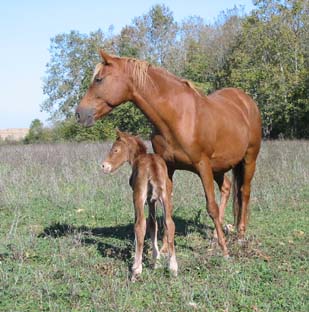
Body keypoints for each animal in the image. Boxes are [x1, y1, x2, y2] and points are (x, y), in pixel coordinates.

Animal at [101, 130, 177, 280]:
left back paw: (136, 270)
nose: (104, 166)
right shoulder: (152, 200)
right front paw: (156, 261)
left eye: (115, 149)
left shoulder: (139, 197)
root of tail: (153, 165)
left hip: (138, 196)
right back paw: (173, 267)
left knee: (140, 224)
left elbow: (140, 224)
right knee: (169, 223)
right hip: (165, 196)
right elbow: (153, 225)